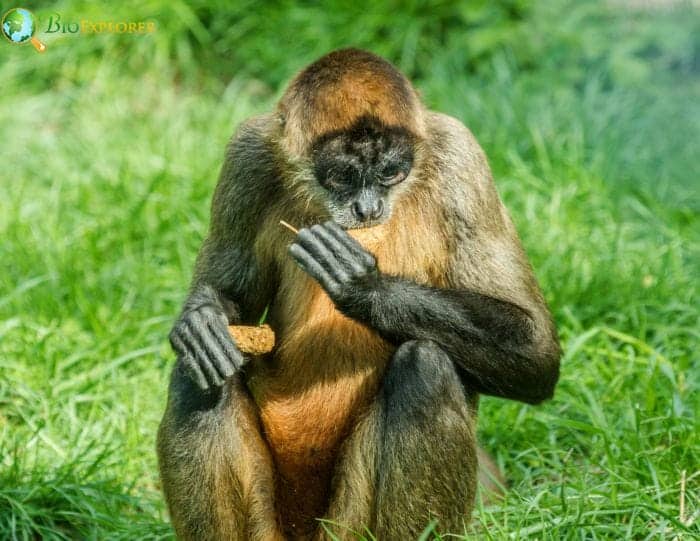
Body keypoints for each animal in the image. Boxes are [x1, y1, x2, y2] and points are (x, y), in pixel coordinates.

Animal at [157, 48, 561, 540]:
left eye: (391, 172)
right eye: (341, 176)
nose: (367, 208)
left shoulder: (461, 154)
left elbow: (536, 352)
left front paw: (362, 285)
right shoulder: (247, 152)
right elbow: (225, 309)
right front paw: (200, 322)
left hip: (348, 523)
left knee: (425, 365)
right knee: (198, 372)